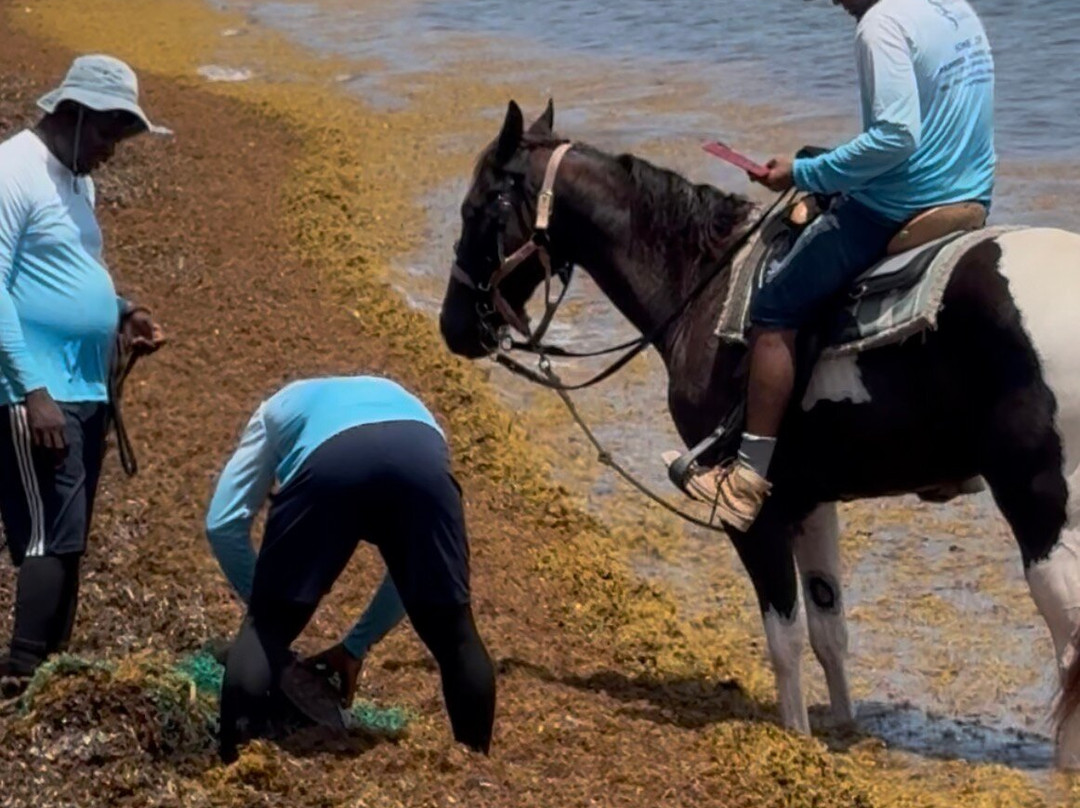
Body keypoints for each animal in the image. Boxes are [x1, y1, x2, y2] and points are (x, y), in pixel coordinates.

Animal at [438, 99, 1080, 769]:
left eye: (477, 208)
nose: (453, 325)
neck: (703, 284)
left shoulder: (752, 514)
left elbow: (784, 634)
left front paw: (795, 737)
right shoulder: (810, 501)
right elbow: (828, 628)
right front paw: (841, 727)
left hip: (1040, 505)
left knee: (1070, 648)